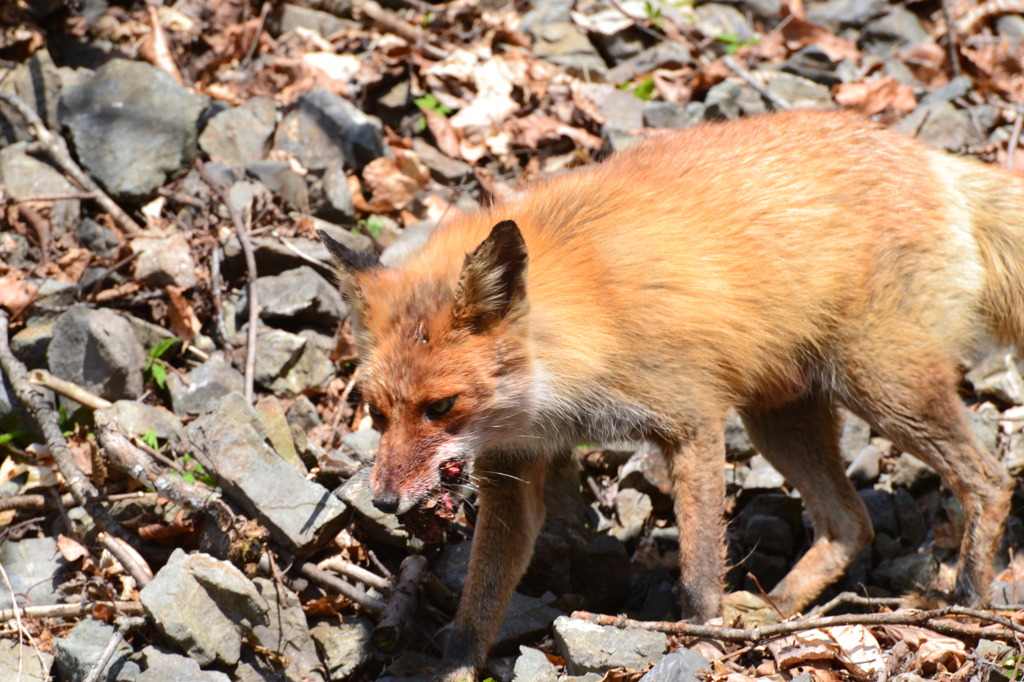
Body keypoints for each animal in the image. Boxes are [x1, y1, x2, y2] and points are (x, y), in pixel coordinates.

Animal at [315, 111, 1019, 679]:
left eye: (441, 407)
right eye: (377, 411)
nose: (382, 501)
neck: (587, 321)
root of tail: (925, 156)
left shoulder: (692, 423)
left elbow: (699, 570)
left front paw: (702, 645)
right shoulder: (512, 471)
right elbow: (479, 604)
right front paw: (457, 667)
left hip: (884, 389)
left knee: (989, 481)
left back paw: (968, 604)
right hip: (780, 419)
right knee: (851, 524)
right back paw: (772, 613)